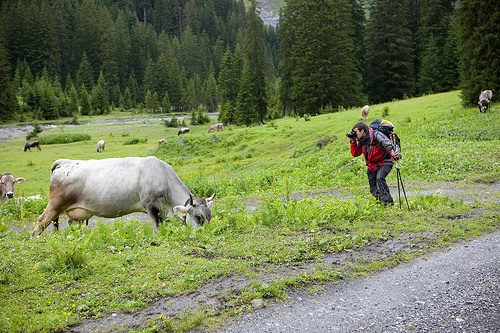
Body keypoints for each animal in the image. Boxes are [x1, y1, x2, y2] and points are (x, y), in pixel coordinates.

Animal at [32, 157, 216, 235]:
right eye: (198, 217)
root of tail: (64, 162)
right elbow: (157, 227)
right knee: (40, 223)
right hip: (54, 205)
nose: (206, 234)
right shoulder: (150, 206)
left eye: (209, 216)